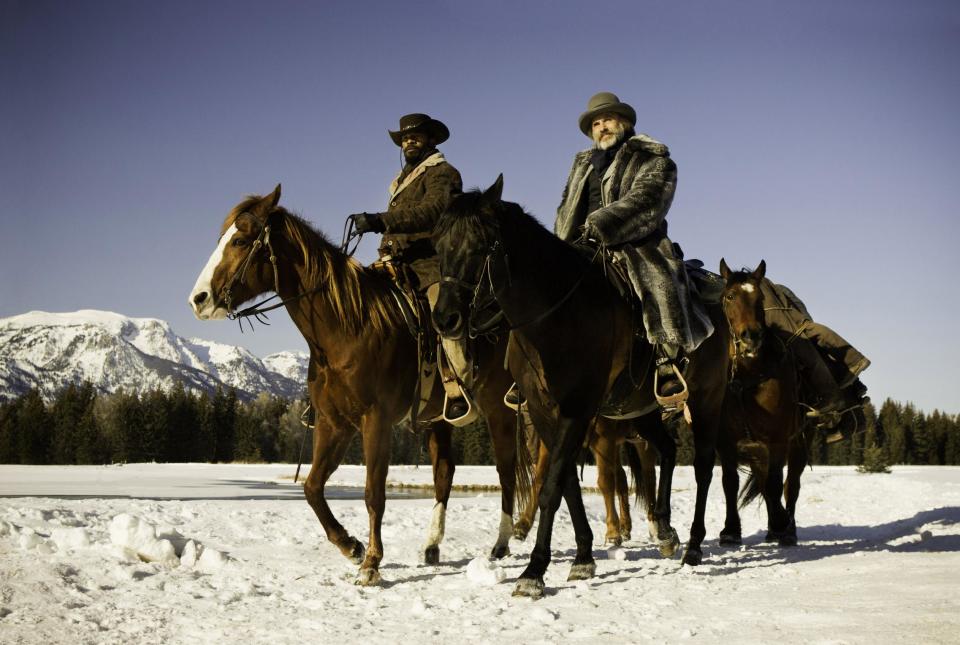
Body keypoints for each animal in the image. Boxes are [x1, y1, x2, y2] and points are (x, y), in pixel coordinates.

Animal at [189, 185, 532, 584]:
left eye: (241, 240)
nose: (198, 299)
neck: (347, 328)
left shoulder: (375, 421)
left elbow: (373, 493)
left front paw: (371, 563)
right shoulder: (333, 423)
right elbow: (312, 487)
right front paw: (350, 546)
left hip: (499, 409)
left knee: (506, 471)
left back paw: (501, 544)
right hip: (439, 421)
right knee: (445, 473)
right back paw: (432, 546)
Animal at [430, 177, 728, 600]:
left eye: (481, 245)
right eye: (439, 245)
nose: (445, 318)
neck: (555, 317)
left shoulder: (576, 409)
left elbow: (553, 485)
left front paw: (534, 571)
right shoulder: (545, 412)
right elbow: (567, 482)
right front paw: (583, 557)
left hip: (706, 400)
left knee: (702, 468)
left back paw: (694, 547)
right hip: (642, 410)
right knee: (669, 450)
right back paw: (665, 529)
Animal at [716, 260, 812, 544]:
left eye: (759, 299)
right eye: (730, 296)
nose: (751, 336)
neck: (747, 378)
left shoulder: (778, 439)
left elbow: (775, 484)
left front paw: (781, 523)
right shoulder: (724, 441)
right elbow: (730, 482)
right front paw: (730, 530)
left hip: (798, 443)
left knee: (790, 485)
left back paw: (786, 529)